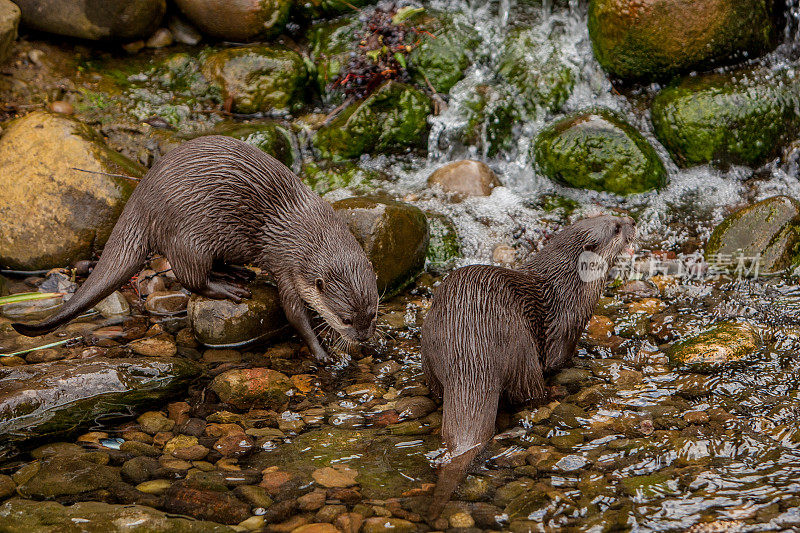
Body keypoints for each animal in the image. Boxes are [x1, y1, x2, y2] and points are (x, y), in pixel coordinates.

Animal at [11, 135, 382, 364]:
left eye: (374, 313)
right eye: (345, 318)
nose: (363, 338)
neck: (308, 231)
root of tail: (141, 198)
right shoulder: (288, 267)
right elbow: (294, 314)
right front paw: (321, 352)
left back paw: (236, 271)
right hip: (188, 238)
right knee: (190, 278)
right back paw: (227, 287)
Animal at [422, 213, 636, 516]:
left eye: (612, 214)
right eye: (616, 228)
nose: (632, 221)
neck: (569, 286)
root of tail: (470, 354)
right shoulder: (565, 327)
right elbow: (558, 359)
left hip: (429, 345)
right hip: (522, 351)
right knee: (530, 390)